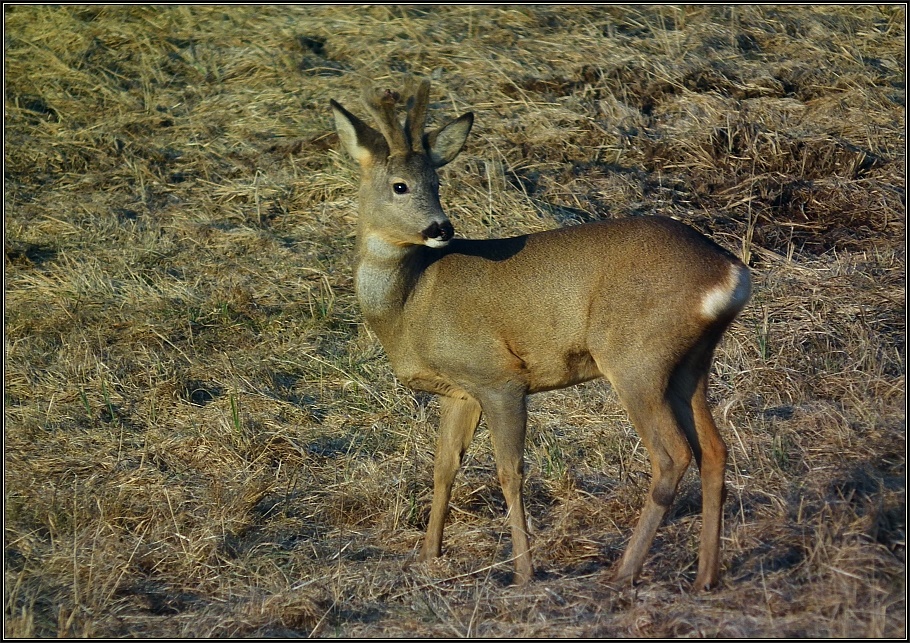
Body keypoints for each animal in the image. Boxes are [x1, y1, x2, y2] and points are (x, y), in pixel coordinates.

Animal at [332, 78, 752, 592]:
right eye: (401, 185)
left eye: (436, 182)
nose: (441, 227)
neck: (412, 301)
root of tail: (729, 272)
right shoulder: (460, 391)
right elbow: (444, 467)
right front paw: (429, 555)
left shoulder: (498, 376)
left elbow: (509, 471)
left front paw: (524, 570)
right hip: (690, 363)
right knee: (714, 449)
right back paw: (704, 577)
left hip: (635, 355)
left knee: (672, 456)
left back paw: (623, 571)